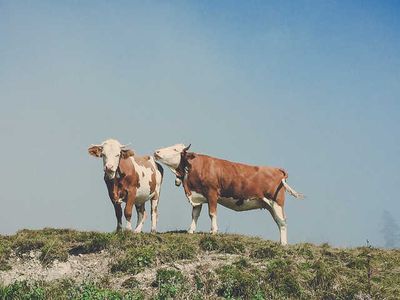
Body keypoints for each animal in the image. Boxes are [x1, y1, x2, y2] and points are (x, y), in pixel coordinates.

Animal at [154, 144, 304, 245]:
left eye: (175, 150)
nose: (156, 151)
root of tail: (277, 169)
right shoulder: (198, 196)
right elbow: (195, 214)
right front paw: (191, 230)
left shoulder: (212, 193)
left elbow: (212, 213)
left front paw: (213, 231)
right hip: (270, 205)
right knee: (278, 221)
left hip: (277, 202)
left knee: (282, 222)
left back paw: (283, 244)